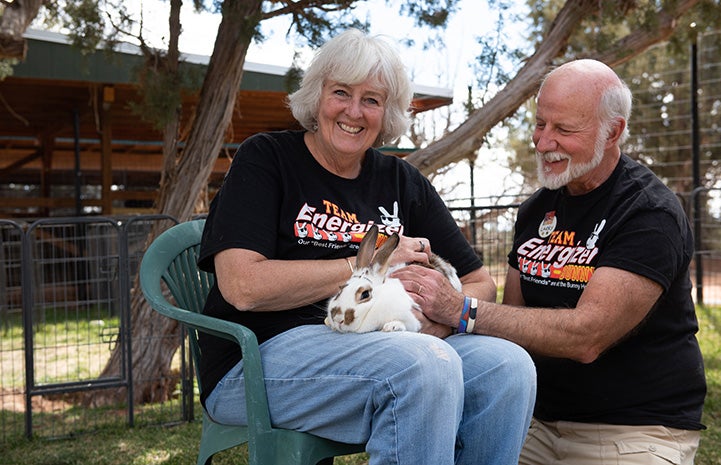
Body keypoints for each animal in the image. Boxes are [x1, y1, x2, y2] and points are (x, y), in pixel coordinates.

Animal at [322, 223, 458, 332]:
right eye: (340, 290)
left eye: (365, 294)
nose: (337, 319)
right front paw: (327, 321)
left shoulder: (411, 318)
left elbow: (407, 324)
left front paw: (391, 326)